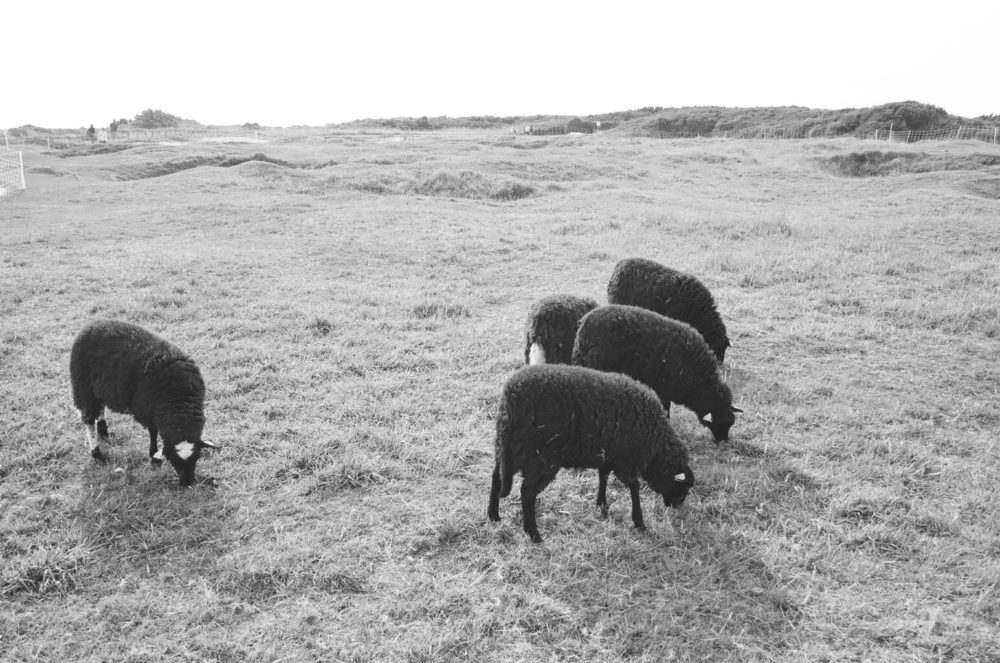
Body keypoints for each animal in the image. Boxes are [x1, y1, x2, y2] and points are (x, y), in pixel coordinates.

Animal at [69, 320, 217, 486]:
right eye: (174, 460)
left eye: (197, 457)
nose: (188, 483)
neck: (179, 400)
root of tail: (91, 325)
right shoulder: (147, 410)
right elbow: (153, 432)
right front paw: (154, 456)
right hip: (83, 386)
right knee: (88, 420)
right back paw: (97, 455)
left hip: (98, 388)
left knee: (100, 409)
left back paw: (104, 433)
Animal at [486, 364, 692, 544]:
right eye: (682, 488)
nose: (676, 507)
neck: (655, 448)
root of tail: (511, 399)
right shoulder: (626, 460)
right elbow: (634, 487)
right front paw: (639, 522)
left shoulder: (609, 454)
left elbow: (603, 476)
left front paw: (602, 504)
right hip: (540, 457)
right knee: (527, 492)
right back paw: (534, 534)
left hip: (505, 448)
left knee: (496, 478)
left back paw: (493, 515)